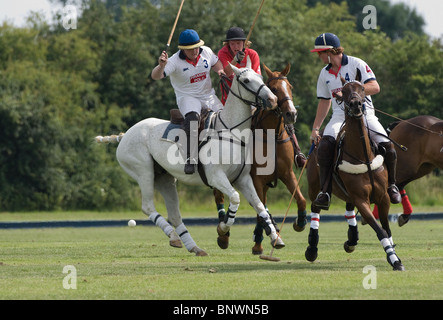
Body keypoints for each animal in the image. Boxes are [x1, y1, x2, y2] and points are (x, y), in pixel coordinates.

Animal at [216, 63, 306, 255]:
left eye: (290, 87)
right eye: (274, 88)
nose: (291, 114)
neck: (272, 135)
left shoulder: (287, 173)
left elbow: (300, 199)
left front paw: (299, 223)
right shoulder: (256, 178)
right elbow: (260, 209)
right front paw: (259, 243)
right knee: (219, 197)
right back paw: (224, 236)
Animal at [306, 76, 406, 272]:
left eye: (362, 88)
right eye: (343, 91)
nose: (355, 105)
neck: (363, 156)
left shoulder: (382, 198)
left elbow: (387, 229)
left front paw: (394, 257)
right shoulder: (362, 199)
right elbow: (380, 230)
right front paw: (394, 260)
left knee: (349, 208)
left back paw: (351, 240)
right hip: (314, 187)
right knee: (315, 209)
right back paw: (312, 249)